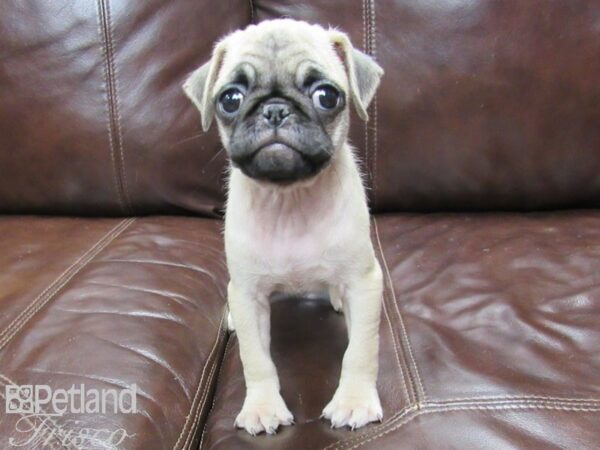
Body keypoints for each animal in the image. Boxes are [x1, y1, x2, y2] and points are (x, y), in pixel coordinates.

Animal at [183, 19, 384, 434]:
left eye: (327, 96)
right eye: (230, 99)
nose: (275, 110)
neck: (289, 200)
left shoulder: (364, 282)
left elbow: (360, 350)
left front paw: (354, 401)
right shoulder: (247, 294)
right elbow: (256, 359)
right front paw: (262, 407)